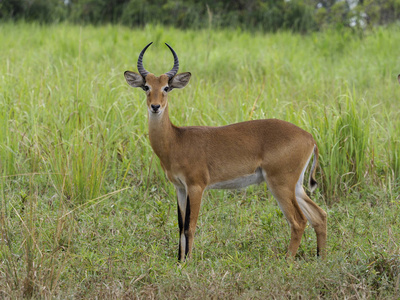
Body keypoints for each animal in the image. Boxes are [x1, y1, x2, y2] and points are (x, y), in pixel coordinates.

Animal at [123, 43, 326, 262]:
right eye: (146, 87)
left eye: (166, 88)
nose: (155, 107)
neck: (176, 140)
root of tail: (309, 137)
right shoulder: (180, 188)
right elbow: (180, 226)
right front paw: (179, 260)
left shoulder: (196, 186)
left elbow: (190, 227)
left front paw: (188, 263)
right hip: (296, 185)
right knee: (319, 215)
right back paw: (321, 258)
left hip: (280, 184)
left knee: (298, 221)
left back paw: (287, 261)